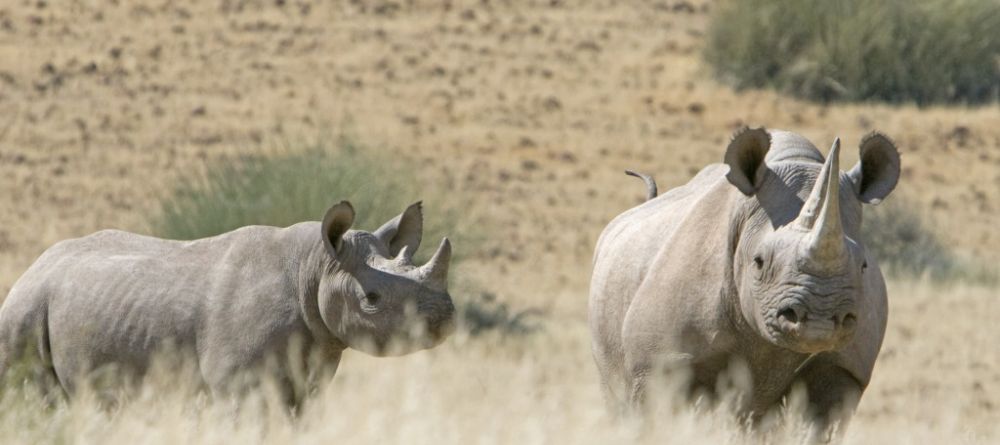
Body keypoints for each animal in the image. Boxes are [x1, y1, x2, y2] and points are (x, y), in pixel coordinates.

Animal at [0, 200, 456, 404]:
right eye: (371, 299)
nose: (445, 317)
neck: (316, 266)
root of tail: (33, 269)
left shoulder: (307, 379)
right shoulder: (239, 387)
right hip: (24, 312)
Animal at [590, 128, 900, 436]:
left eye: (863, 266)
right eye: (759, 261)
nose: (819, 322)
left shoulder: (844, 367)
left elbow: (816, 424)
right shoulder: (660, 360)